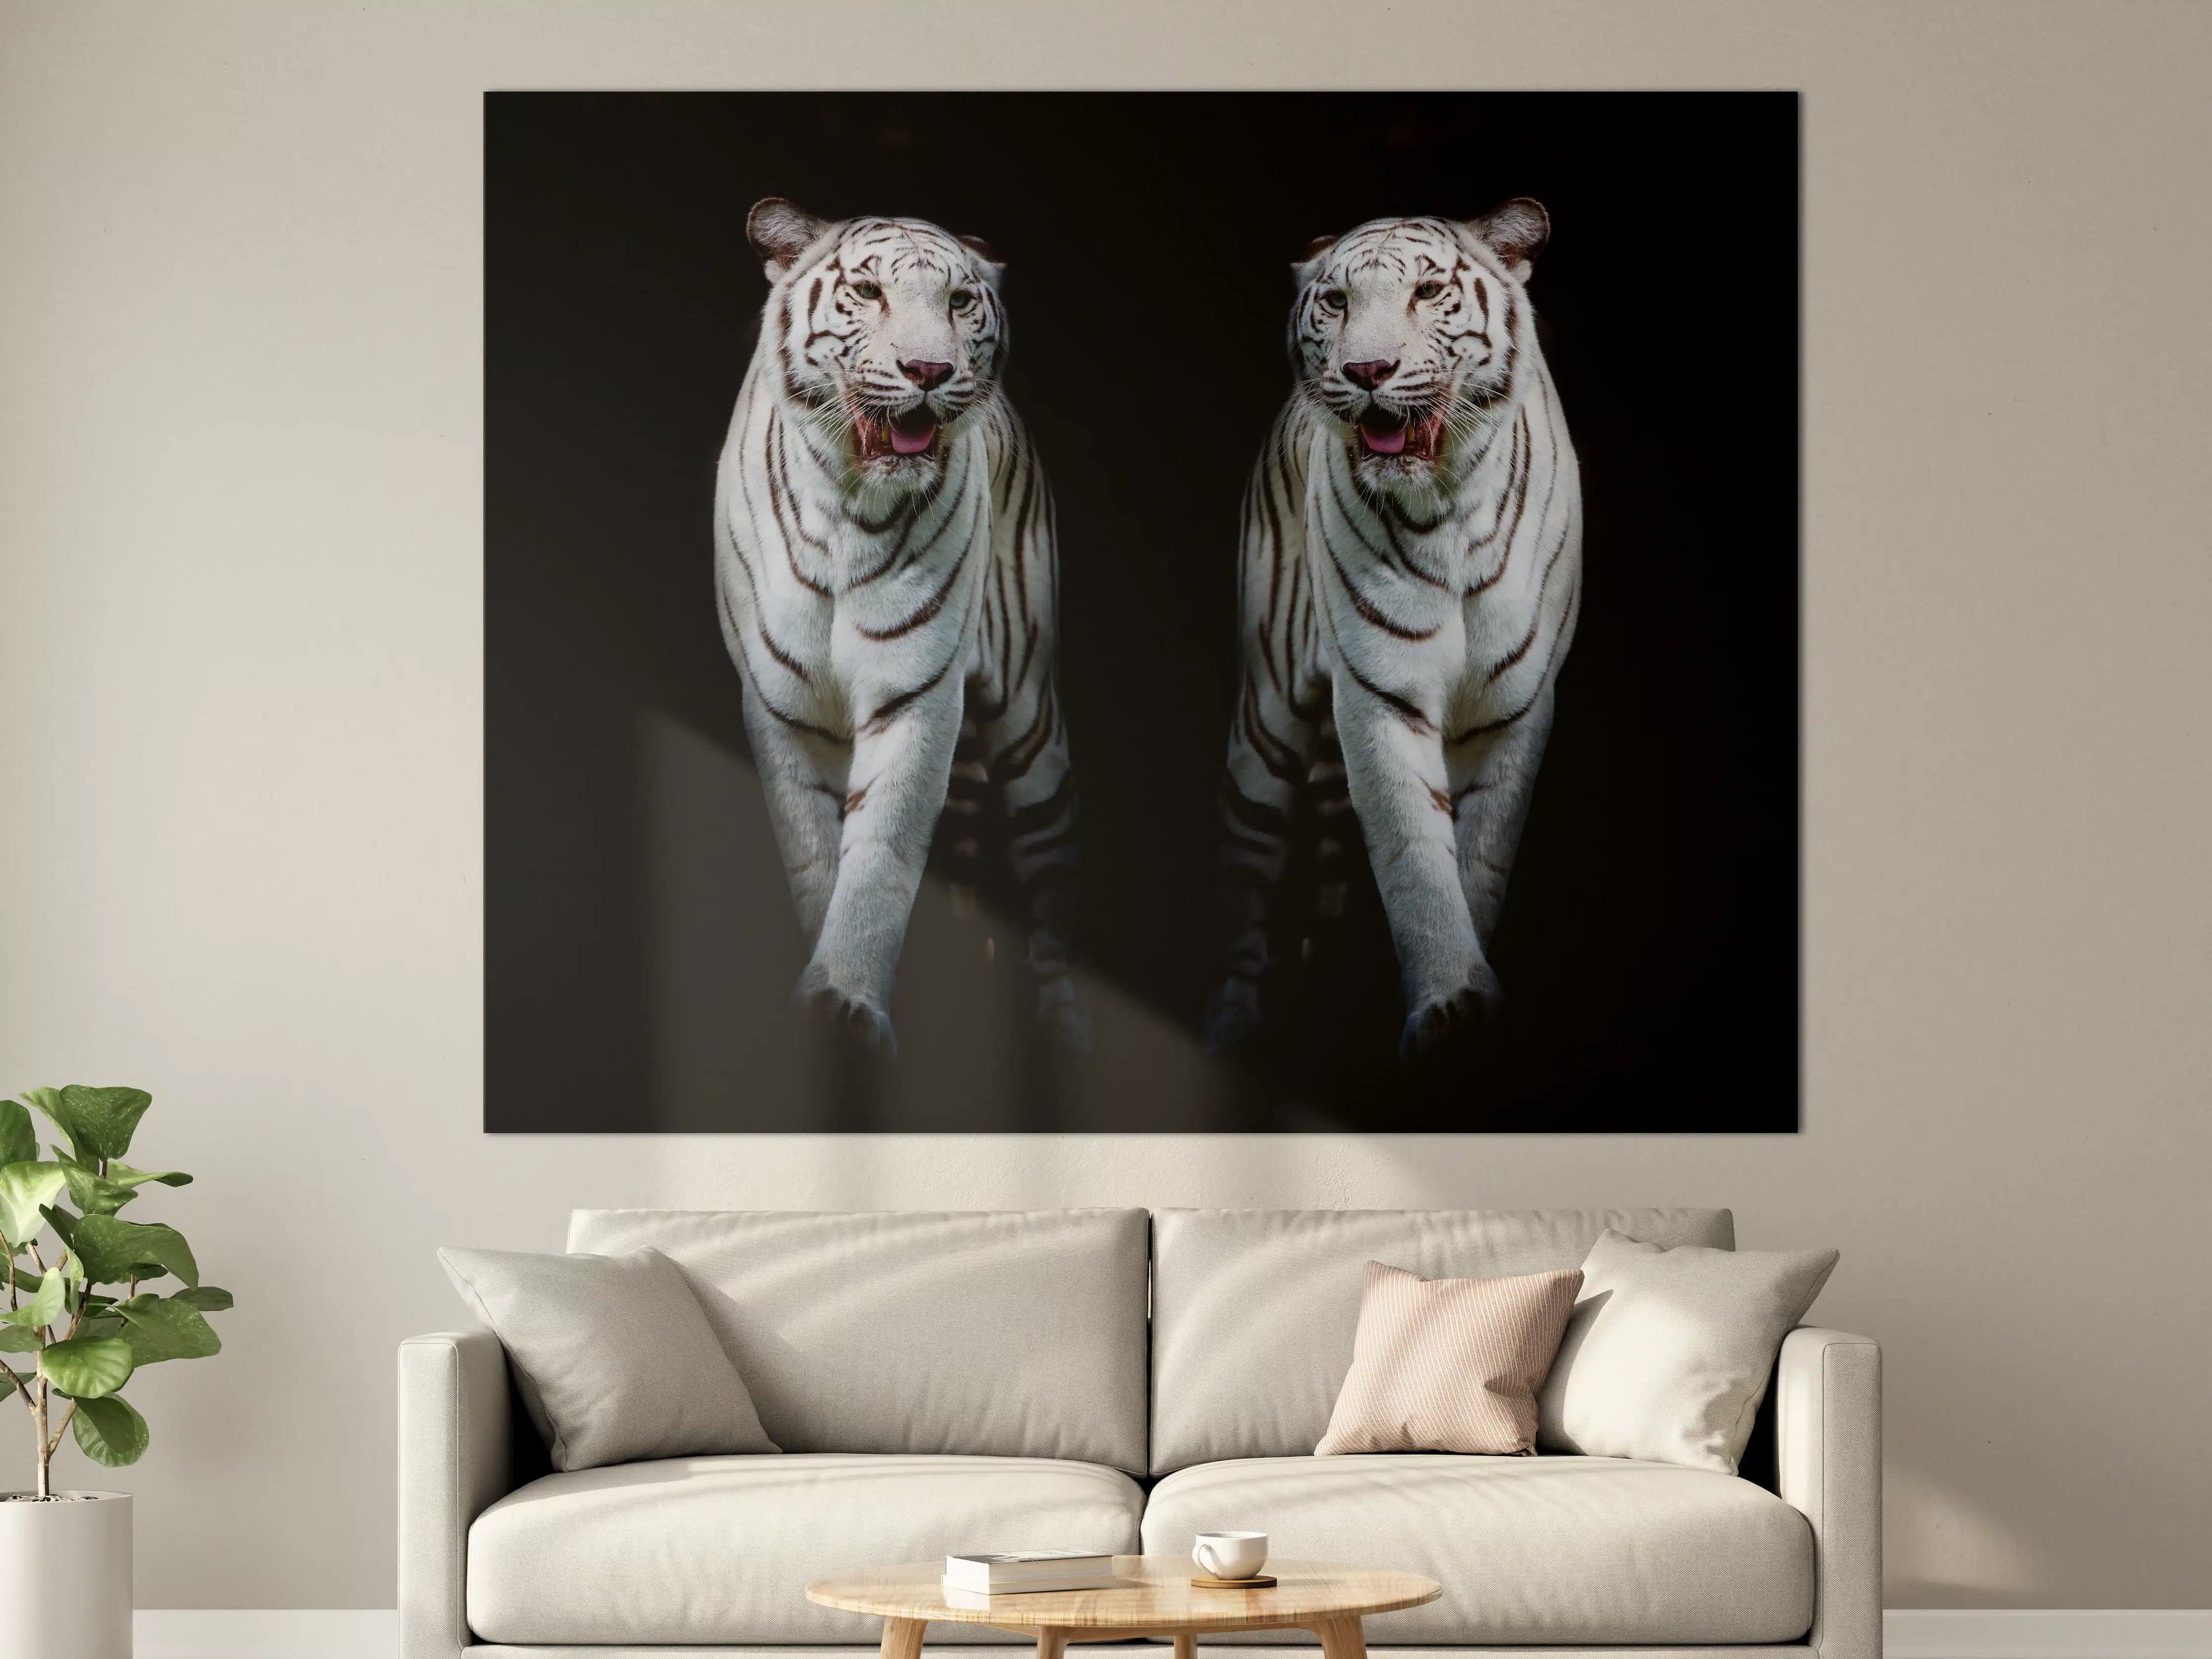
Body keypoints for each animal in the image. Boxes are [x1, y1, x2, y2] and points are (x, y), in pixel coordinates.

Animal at [713, 198, 1086, 1055]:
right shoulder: (782, 705)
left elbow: (880, 854)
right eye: (868, 292)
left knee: (1052, 876)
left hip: (1030, 723)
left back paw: (1063, 1027)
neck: (849, 505)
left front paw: (848, 998)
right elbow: (816, 856)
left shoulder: (917, 693)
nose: (929, 371)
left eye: (959, 302)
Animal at [1206, 200, 1583, 1061]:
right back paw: (1233, 1029)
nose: (1368, 371)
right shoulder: (1381, 692)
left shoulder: (1515, 705)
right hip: (1266, 723)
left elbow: (1479, 855)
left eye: (1429, 291)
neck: (1449, 506)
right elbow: (1414, 853)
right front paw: (1448, 1000)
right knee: (1244, 883)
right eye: (1337, 302)